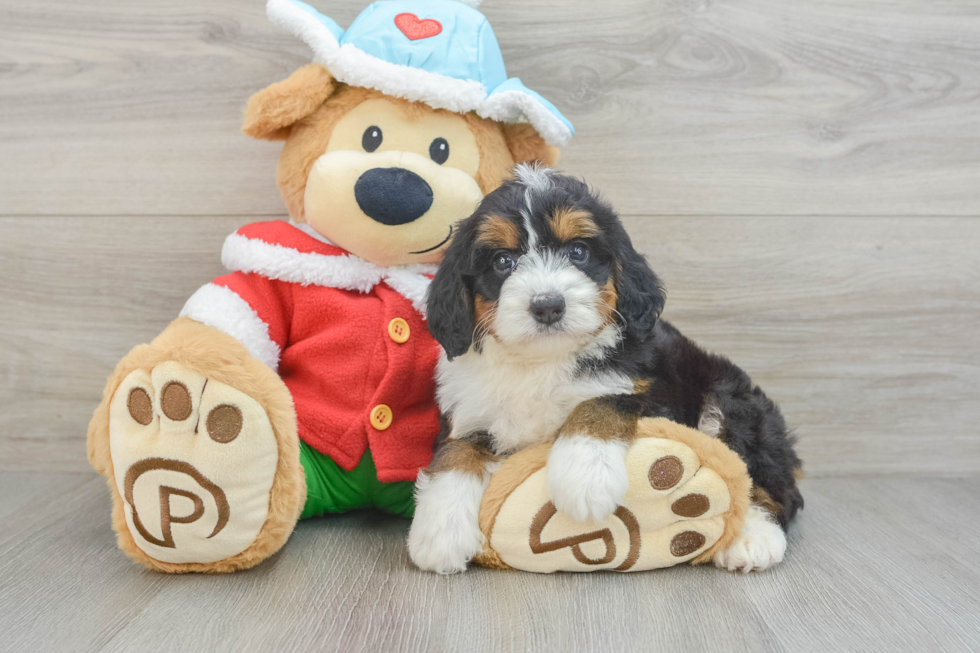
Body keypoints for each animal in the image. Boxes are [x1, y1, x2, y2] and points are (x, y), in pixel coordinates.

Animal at [408, 166, 804, 572]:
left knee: (765, 479)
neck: (543, 360)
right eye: (503, 261)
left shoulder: (645, 386)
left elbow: (599, 402)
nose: (547, 305)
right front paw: (440, 533)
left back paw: (753, 536)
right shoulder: (469, 408)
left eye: (578, 252)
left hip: (732, 400)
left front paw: (584, 478)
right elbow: (455, 452)